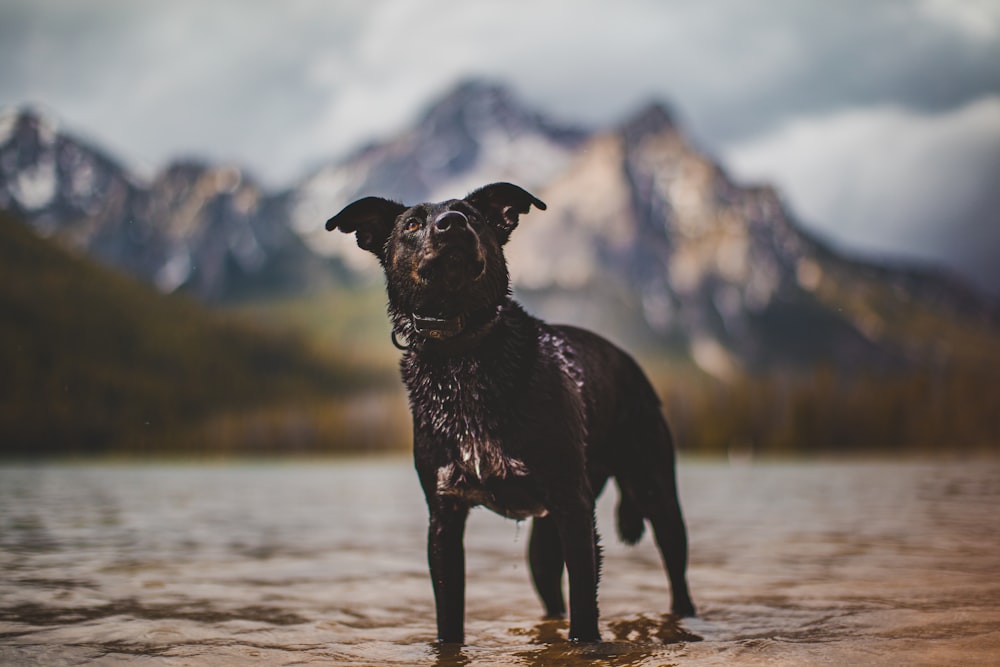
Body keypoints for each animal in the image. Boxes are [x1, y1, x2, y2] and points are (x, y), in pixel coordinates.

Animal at [328, 181, 696, 640]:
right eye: (411, 224)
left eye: (475, 216)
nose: (453, 224)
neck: (463, 355)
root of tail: (633, 366)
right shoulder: (444, 519)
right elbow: (449, 619)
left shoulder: (574, 509)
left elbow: (584, 611)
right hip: (543, 542)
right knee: (552, 596)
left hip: (656, 493)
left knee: (677, 578)